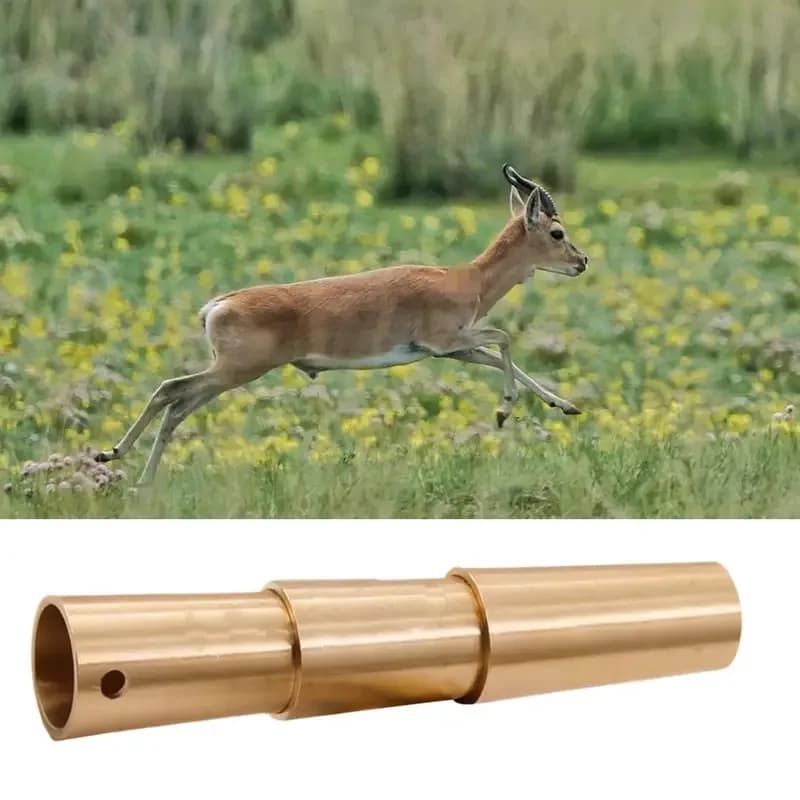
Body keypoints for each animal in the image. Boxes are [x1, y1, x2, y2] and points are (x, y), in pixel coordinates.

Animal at [94, 164, 589, 484]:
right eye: (557, 232)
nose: (582, 261)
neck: (466, 280)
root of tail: (217, 305)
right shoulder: (447, 339)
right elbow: (504, 339)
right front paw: (504, 411)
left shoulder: (455, 350)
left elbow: (505, 358)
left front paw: (565, 406)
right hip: (234, 370)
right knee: (169, 390)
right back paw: (113, 457)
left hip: (226, 375)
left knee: (177, 406)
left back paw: (135, 475)